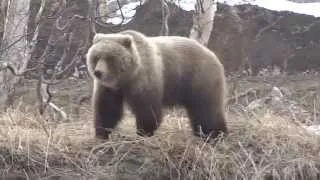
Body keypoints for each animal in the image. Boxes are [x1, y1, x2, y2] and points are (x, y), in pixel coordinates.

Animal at [85, 29, 228, 139]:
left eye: (110, 58)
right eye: (96, 57)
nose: (98, 72)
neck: (126, 78)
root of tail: (212, 53)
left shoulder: (144, 78)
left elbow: (148, 109)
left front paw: (144, 132)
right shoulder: (109, 88)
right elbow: (107, 108)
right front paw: (101, 133)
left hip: (199, 78)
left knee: (206, 109)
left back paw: (214, 134)